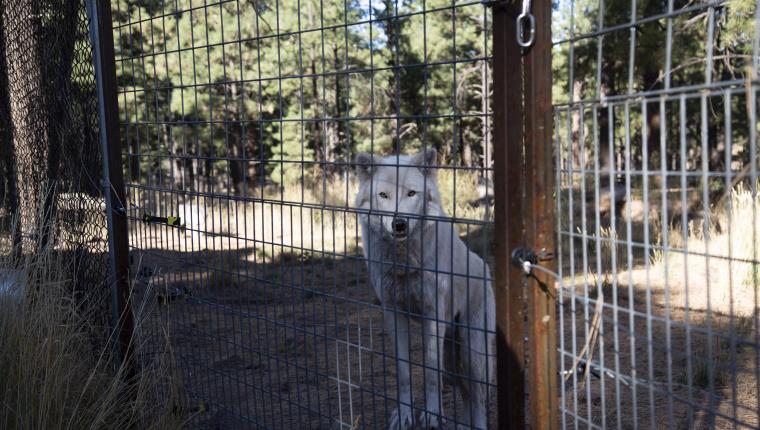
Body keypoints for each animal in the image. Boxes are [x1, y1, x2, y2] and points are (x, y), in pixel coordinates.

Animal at [354, 149, 496, 430]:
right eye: (383, 195)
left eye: (411, 193)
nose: (399, 224)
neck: (404, 261)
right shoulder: (393, 314)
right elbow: (404, 371)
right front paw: (404, 414)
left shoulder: (434, 315)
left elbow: (430, 370)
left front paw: (432, 413)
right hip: (454, 360)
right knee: (464, 391)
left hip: (472, 352)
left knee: (477, 395)